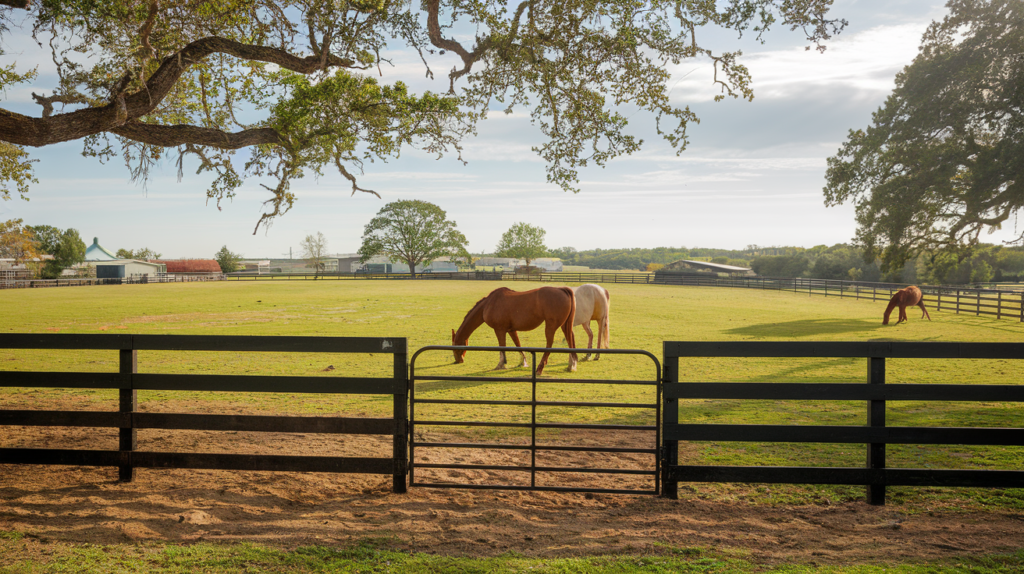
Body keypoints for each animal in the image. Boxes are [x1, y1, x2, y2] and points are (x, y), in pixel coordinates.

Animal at [452, 284, 581, 374]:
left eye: (455, 347)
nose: (458, 360)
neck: (489, 303)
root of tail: (562, 289)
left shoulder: (499, 330)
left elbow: (502, 347)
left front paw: (500, 365)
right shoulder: (511, 330)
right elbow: (518, 345)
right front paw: (523, 362)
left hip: (551, 325)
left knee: (550, 344)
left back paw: (540, 368)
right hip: (565, 325)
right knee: (570, 339)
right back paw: (572, 365)